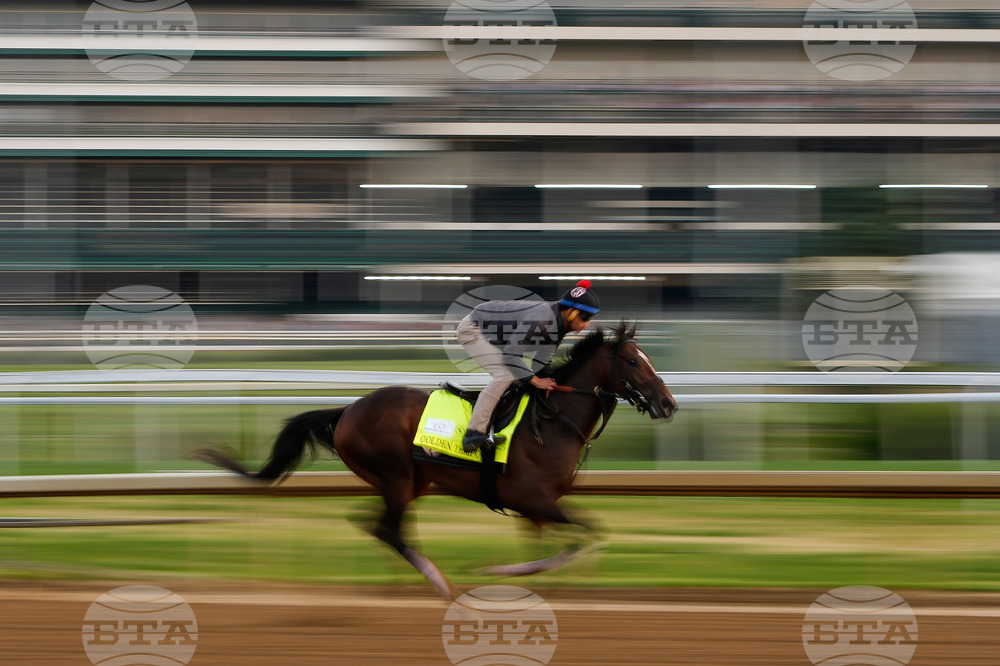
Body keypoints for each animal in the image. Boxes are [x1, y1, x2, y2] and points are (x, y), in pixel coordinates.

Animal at [196, 322, 677, 599]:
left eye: (649, 357)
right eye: (633, 360)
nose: (668, 404)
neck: (553, 420)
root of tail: (348, 409)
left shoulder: (537, 508)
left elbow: (566, 543)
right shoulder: (532, 499)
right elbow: (585, 535)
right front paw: (494, 570)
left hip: (411, 482)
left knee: (379, 524)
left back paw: (406, 585)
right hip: (395, 475)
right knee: (387, 528)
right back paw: (442, 584)